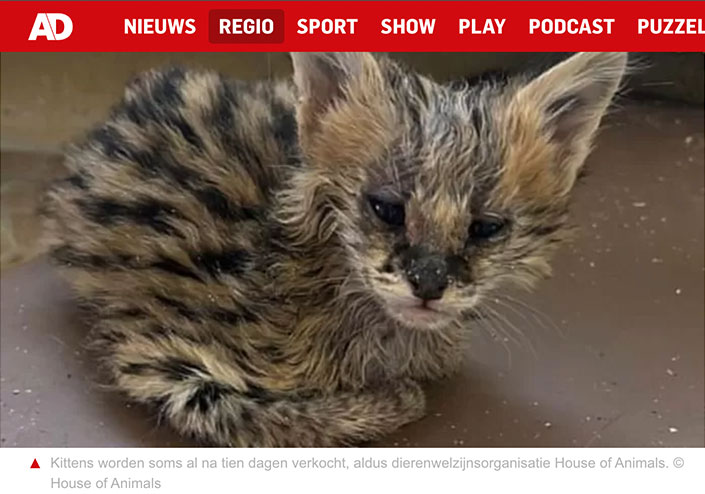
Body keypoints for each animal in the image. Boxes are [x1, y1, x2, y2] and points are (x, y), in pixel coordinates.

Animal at [42, 52, 628, 446]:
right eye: (386, 208)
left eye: (486, 228)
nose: (430, 285)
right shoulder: (155, 353)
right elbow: (269, 417)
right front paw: (393, 399)